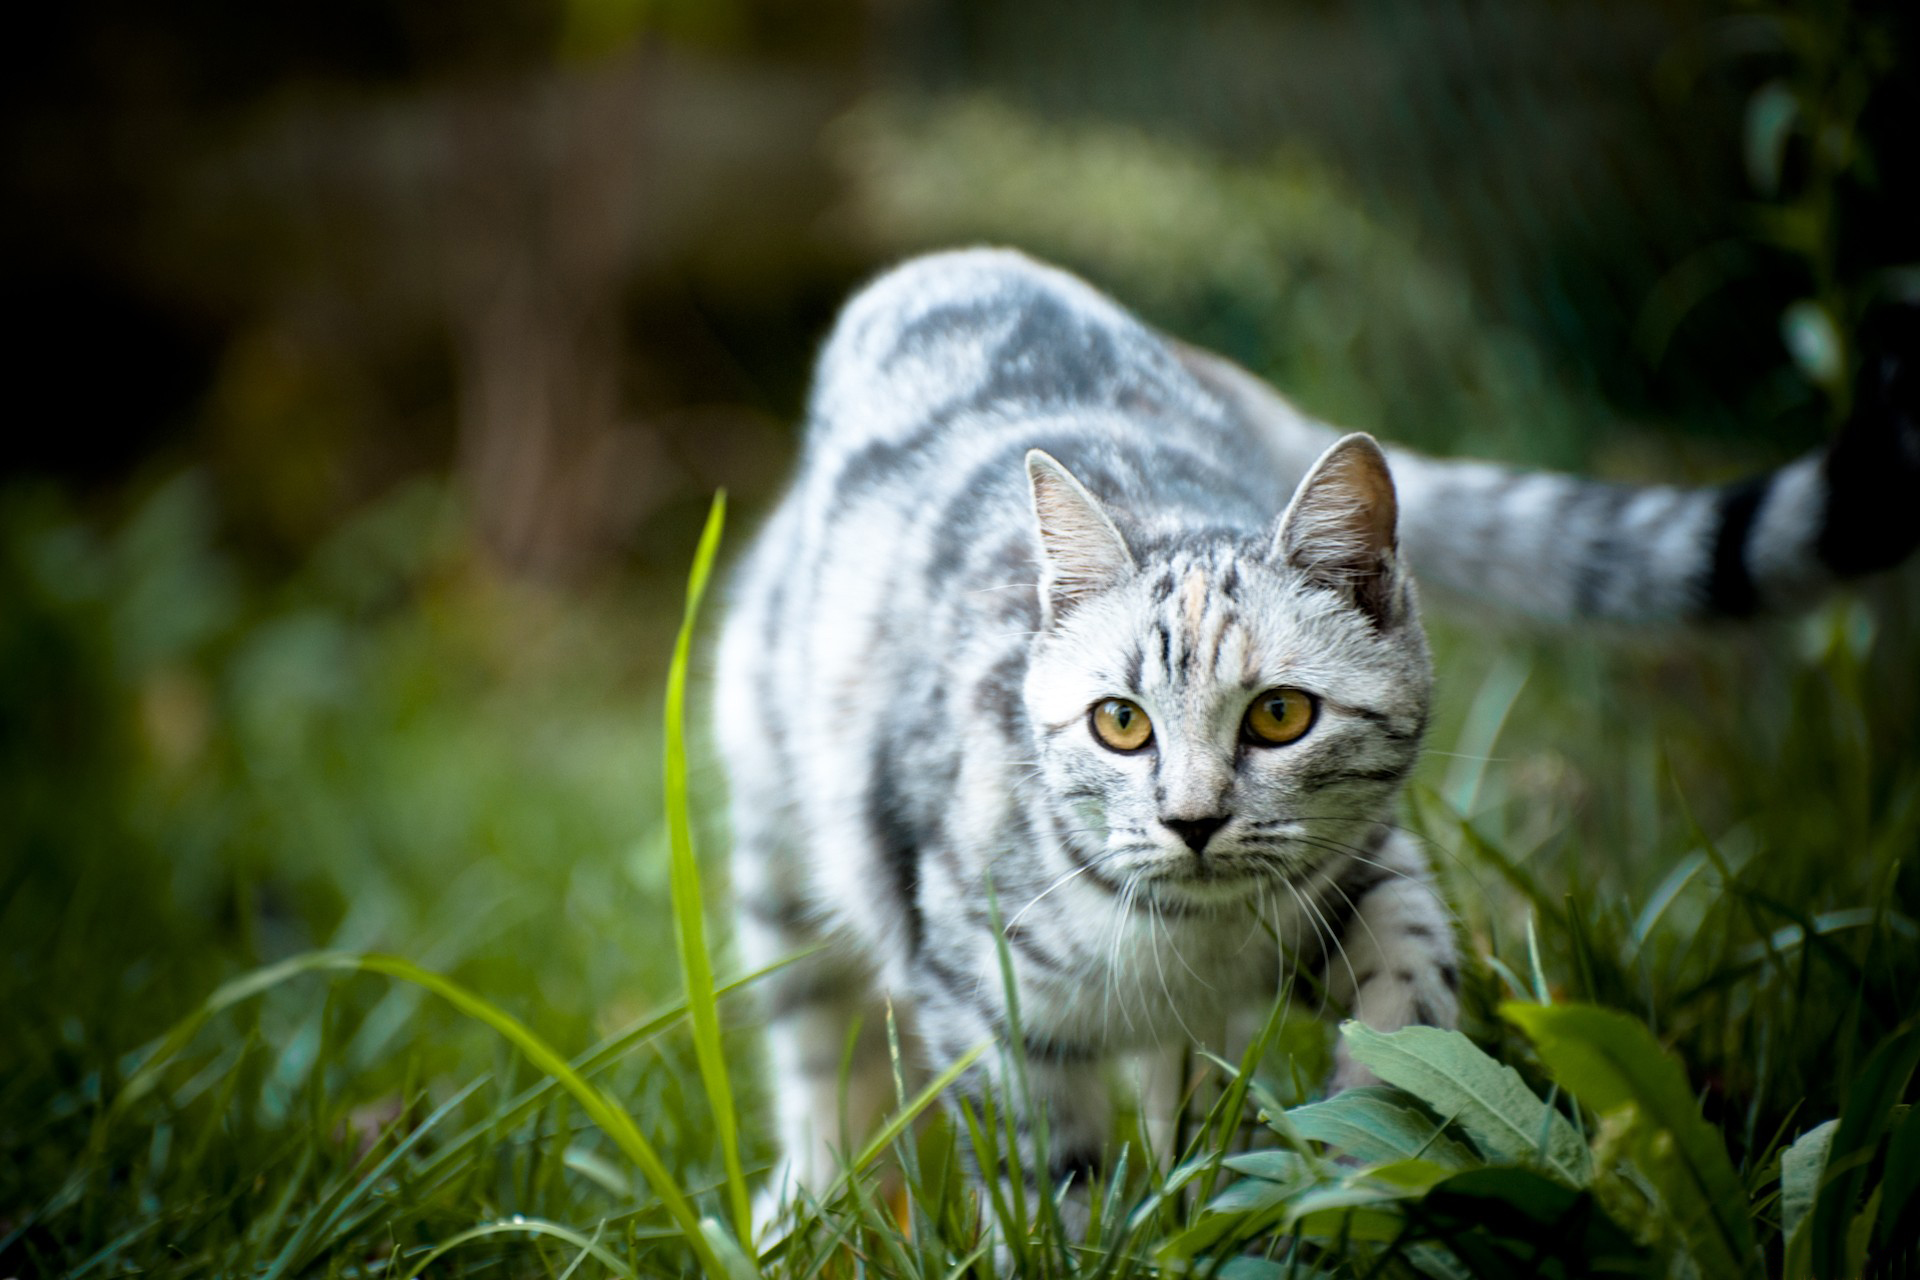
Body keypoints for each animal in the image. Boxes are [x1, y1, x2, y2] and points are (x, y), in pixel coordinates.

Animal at [710, 245, 1920, 1220]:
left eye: (1280, 714)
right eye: (1120, 722)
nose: (1192, 820)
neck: (1184, 941)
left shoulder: (1363, 874)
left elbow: (1417, 985)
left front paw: (1353, 1148)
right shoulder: (978, 996)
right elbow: (1041, 1174)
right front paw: (1090, 1236)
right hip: (777, 847)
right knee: (812, 1044)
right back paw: (804, 1202)